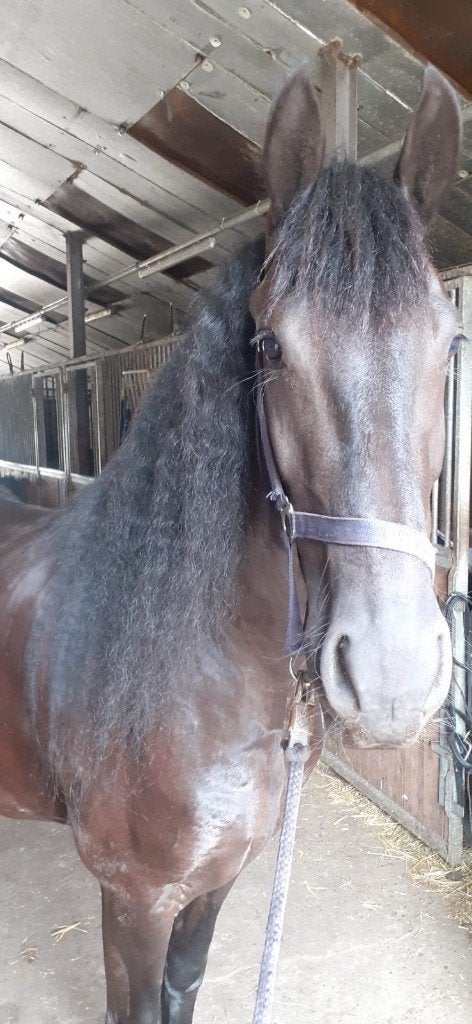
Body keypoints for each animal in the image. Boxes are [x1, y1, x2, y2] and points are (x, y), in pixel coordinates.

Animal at [0, 64, 462, 1023]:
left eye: (449, 341)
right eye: (272, 347)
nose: (393, 679)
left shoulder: (216, 884)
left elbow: (185, 990)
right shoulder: (133, 901)